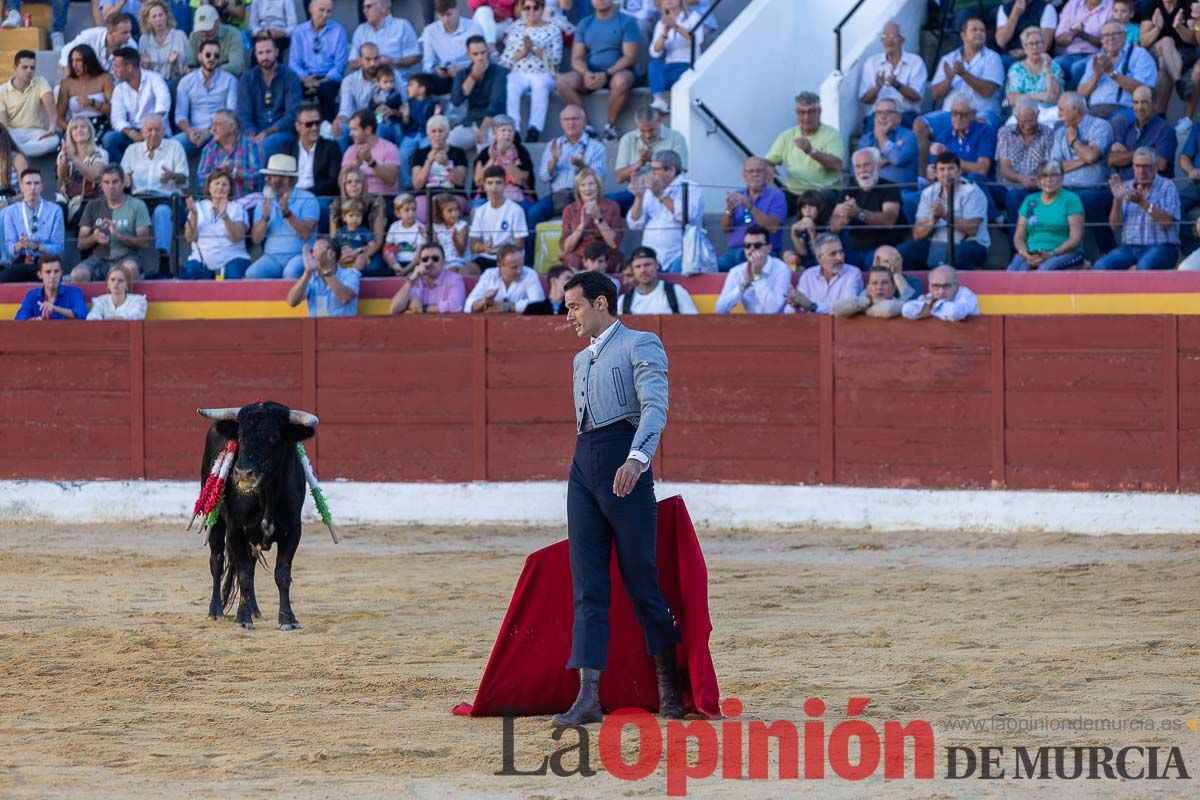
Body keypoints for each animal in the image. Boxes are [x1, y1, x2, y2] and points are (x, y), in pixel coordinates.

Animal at [195, 402, 314, 628]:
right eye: (241, 435)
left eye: (274, 437)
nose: (242, 473)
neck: (268, 494)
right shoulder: (236, 530)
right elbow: (244, 575)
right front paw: (242, 619)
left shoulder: (293, 531)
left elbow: (282, 574)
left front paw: (288, 619)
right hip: (216, 522)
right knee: (217, 561)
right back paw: (215, 610)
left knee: (250, 563)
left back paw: (254, 609)